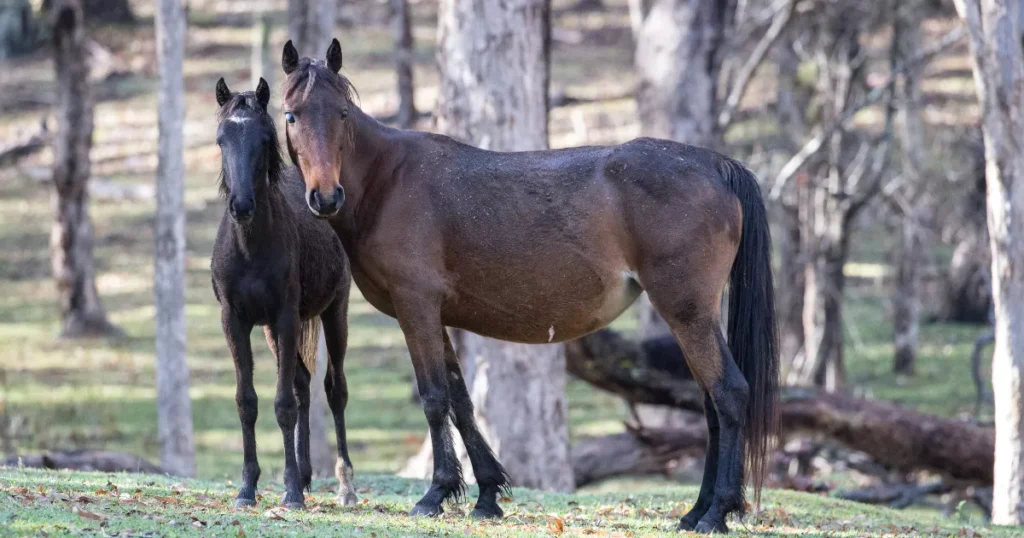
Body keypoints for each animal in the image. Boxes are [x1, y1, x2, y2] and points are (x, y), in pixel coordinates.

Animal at [209, 78, 358, 508]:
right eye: (222, 140)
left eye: (263, 139)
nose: (241, 205)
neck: (251, 246)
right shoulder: (236, 321)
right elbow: (248, 402)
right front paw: (247, 488)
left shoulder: (286, 316)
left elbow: (283, 405)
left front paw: (290, 492)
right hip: (272, 333)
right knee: (303, 383)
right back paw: (307, 475)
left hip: (333, 313)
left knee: (333, 389)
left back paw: (345, 486)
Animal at [280, 38, 774, 532]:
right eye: (291, 115)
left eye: (343, 113)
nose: (326, 197)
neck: (387, 180)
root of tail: (715, 164)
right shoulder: (435, 316)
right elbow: (461, 400)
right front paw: (486, 493)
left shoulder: (414, 306)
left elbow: (435, 398)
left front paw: (436, 493)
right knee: (711, 405)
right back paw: (696, 511)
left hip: (687, 311)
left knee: (729, 395)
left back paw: (717, 511)